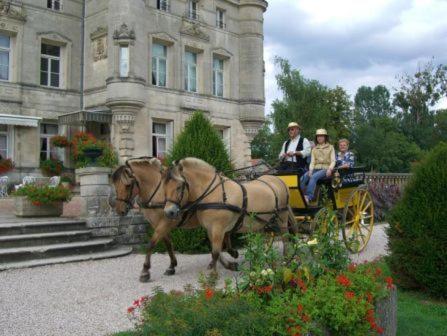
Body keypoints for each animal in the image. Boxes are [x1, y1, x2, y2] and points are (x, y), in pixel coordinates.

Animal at [110, 158, 240, 280]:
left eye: (127, 185)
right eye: (115, 186)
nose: (120, 210)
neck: (157, 192)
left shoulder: (165, 223)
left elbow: (151, 243)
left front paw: (145, 271)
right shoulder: (159, 224)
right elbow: (168, 244)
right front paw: (172, 266)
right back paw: (226, 261)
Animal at [163, 158, 292, 272]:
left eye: (179, 186)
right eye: (165, 187)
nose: (169, 212)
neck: (215, 194)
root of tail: (278, 180)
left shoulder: (218, 228)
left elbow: (215, 252)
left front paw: (213, 275)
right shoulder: (211, 229)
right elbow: (218, 249)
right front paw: (231, 258)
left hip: (282, 218)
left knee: (285, 238)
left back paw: (286, 260)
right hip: (261, 222)